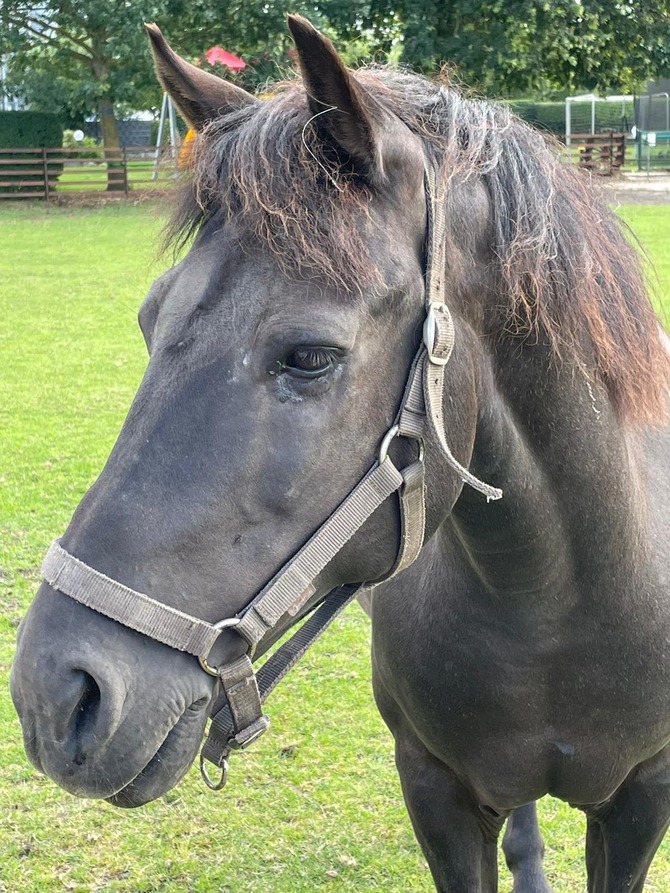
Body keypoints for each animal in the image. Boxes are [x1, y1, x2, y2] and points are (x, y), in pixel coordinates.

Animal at [9, 15, 670, 892]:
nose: (55, 695)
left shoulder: (641, 800)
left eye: (311, 356)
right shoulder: (436, 791)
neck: (558, 607)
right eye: (150, 319)